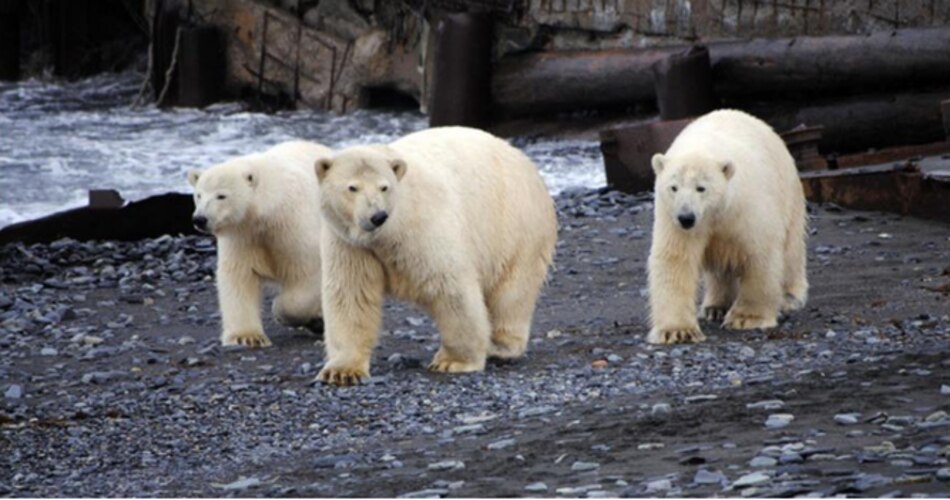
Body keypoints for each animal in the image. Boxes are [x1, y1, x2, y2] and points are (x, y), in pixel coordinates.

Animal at [187, 140, 332, 348]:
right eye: (198, 195)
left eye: (221, 196)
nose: (199, 219)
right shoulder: (243, 236)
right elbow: (239, 276)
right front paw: (247, 337)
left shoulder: (294, 227)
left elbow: (307, 272)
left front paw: (282, 311)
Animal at [311, 126, 558, 385]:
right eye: (352, 187)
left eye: (384, 187)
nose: (377, 216)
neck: (388, 233)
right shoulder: (349, 244)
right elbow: (351, 295)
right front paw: (342, 371)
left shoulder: (423, 227)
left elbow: (450, 287)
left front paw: (453, 361)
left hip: (516, 227)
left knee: (512, 292)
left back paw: (500, 346)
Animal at [647, 109, 808, 344]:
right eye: (673, 187)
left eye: (701, 188)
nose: (686, 217)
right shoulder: (672, 218)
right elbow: (675, 259)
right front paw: (678, 331)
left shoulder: (747, 208)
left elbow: (759, 254)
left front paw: (746, 318)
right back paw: (715, 307)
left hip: (788, 191)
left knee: (791, 249)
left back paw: (789, 297)